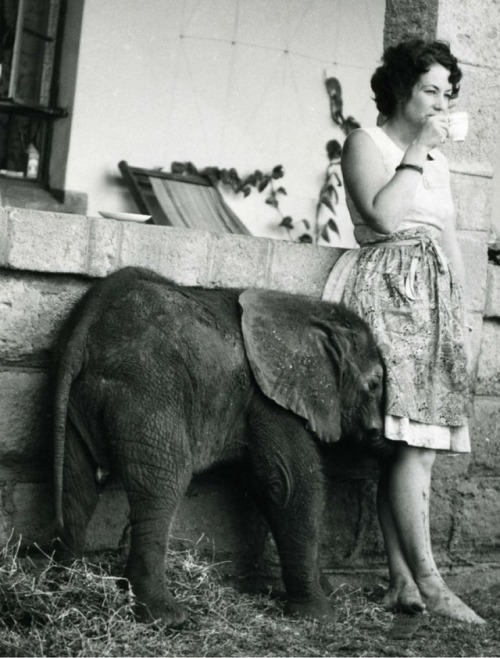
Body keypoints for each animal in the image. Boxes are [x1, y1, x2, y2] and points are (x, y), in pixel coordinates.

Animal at [52, 266, 386, 624]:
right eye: (374, 384)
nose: (378, 433)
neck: (305, 309)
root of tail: (89, 322)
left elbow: (265, 483)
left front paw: (327, 593)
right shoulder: (269, 398)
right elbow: (291, 484)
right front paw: (319, 615)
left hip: (79, 399)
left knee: (76, 483)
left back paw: (66, 583)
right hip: (149, 389)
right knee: (164, 483)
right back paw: (166, 616)